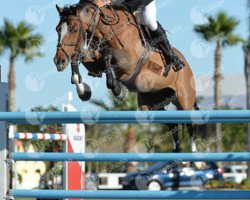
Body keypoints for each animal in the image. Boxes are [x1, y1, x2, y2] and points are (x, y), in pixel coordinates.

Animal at [54, 1, 207, 167]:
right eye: (57, 29)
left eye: (74, 29)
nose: (58, 61)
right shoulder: (94, 62)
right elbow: (78, 59)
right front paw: (83, 90)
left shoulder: (128, 61)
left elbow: (107, 55)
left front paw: (118, 89)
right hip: (151, 106)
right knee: (172, 124)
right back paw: (176, 155)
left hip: (184, 98)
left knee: (190, 124)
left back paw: (196, 158)